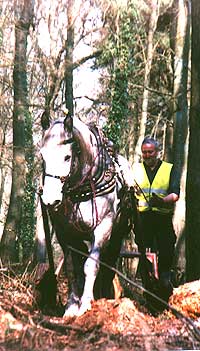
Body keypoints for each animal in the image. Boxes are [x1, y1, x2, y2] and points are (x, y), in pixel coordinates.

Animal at [39, 114, 138, 318]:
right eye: (42, 156)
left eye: (67, 156)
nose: (50, 200)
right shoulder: (65, 232)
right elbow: (72, 268)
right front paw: (71, 306)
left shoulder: (103, 228)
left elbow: (90, 265)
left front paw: (85, 304)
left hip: (116, 236)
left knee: (108, 264)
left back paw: (103, 295)